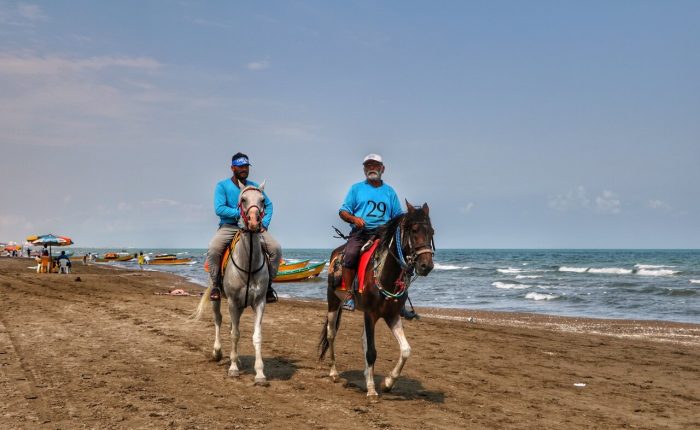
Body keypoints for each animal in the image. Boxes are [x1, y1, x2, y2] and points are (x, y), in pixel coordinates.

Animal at [191, 185, 270, 386]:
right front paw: (233, 368)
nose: (254, 222)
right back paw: (218, 352)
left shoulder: (259, 302)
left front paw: (260, 374)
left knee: (234, 326)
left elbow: (256, 336)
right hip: (218, 299)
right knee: (219, 321)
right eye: (243, 199)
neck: (248, 261)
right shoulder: (233, 302)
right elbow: (234, 334)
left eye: (262, 200)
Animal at [320, 201, 434, 400]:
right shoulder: (370, 314)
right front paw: (372, 390)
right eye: (414, 230)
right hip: (333, 302)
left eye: (432, 232)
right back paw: (334, 373)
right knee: (331, 334)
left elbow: (405, 350)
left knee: (363, 340)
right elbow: (372, 352)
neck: (385, 273)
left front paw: (387, 383)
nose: (426, 265)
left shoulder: (392, 315)